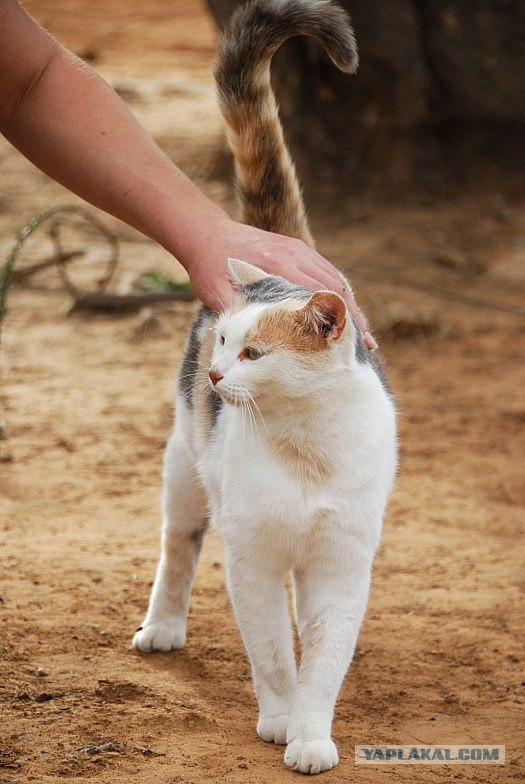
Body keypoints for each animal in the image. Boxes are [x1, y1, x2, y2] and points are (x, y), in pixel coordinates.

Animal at [132, 0, 398, 772]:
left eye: (254, 352)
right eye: (224, 343)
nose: (218, 376)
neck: (306, 443)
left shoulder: (340, 566)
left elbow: (322, 658)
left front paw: (311, 734)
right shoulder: (252, 558)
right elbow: (275, 653)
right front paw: (280, 719)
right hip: (184, 472)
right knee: (178, 545)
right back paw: (163, 626)